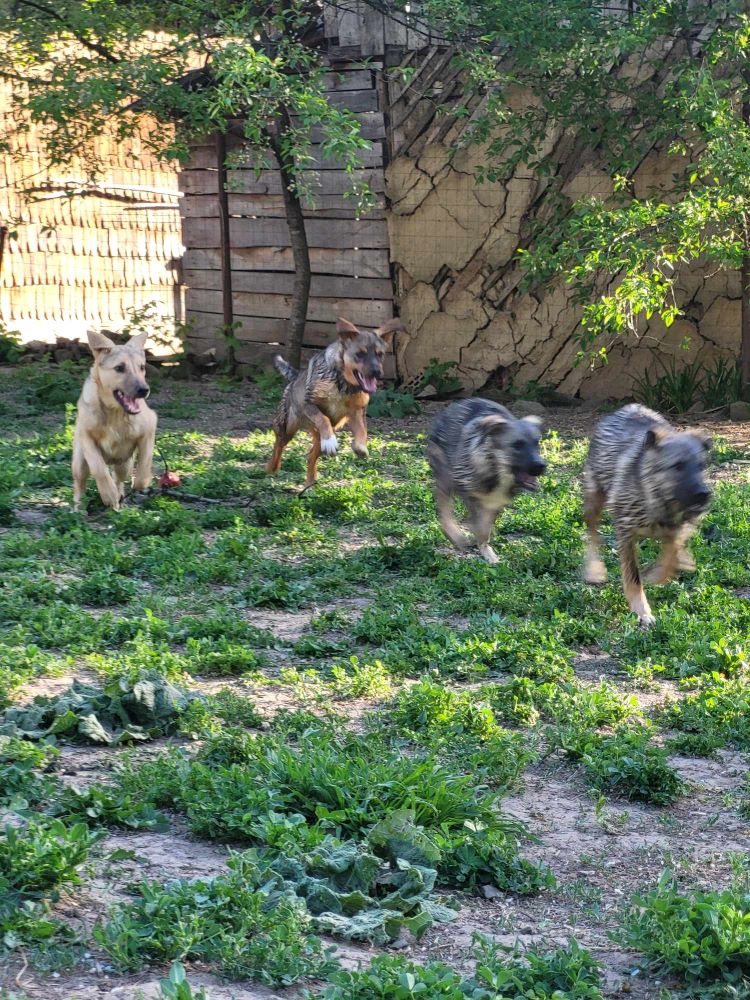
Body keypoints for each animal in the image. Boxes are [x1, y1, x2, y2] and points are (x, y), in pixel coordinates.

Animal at [72, 332, 157, 512]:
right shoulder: (86, 436)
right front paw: (108, 495)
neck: (115, 413)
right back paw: (78, 508)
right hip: (79, 462)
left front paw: (140, 484)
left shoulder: (149, 428)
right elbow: (98, 468)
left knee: (119, 479)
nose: (144, 390)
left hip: (124, 464)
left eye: (142, 367)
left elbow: (145, 463)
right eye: (119, 368)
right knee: (80, 482)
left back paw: (119, 501)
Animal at [266, 316, 406, 488]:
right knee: (279, 444)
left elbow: (362, 431)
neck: (343, 384)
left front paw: (360, 447)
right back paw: (272, 468)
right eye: (360, 354)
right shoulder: (309, 404)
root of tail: (295, 376)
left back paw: (310, 483)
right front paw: (331, 441)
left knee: (311, 455)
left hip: (318, 437)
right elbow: (323, 418)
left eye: (380, 354)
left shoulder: (357, 412)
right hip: (286, 426)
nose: (377, 372)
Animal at [428, 400, 548, 572]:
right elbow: (479, 526)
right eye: (517, 445)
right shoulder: (468, 493)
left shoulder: (495, 504)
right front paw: (481, 546)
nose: (542, 465)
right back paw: (454, 535)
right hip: (445, 477)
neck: (495, 465)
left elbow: (485, 529)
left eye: (537, 443)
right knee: (443, 507)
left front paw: (487, 550)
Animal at [584, 404, 712, 624]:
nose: (704, 494)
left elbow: (672, 552)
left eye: (701, 466)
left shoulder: (682, 525)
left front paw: (661, 573)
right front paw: (642, 611)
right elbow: (633, 576)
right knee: (592, 532)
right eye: (678, 465)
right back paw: (594, 569)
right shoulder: (626, 534)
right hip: (594, 498)